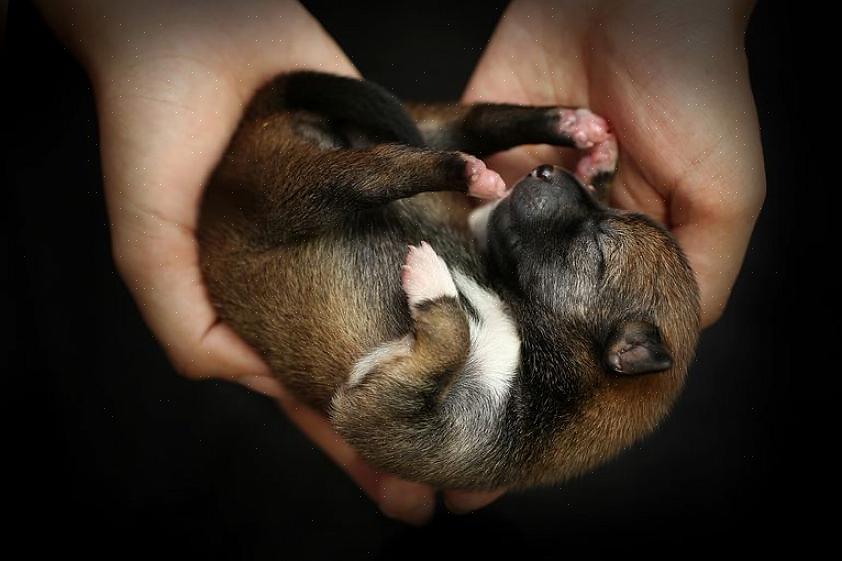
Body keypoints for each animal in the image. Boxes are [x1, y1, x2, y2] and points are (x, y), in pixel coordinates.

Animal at [195, 71, 696, 490]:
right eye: (601, 208)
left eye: (597, 247)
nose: (547, 171)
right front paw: (596, 166)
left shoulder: (385, 422)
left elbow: (452, 335)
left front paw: (433, 280)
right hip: (375, 147)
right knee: (465, 126)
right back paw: (568, 124)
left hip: (294, 194)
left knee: (375, 173)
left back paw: (469, 172)